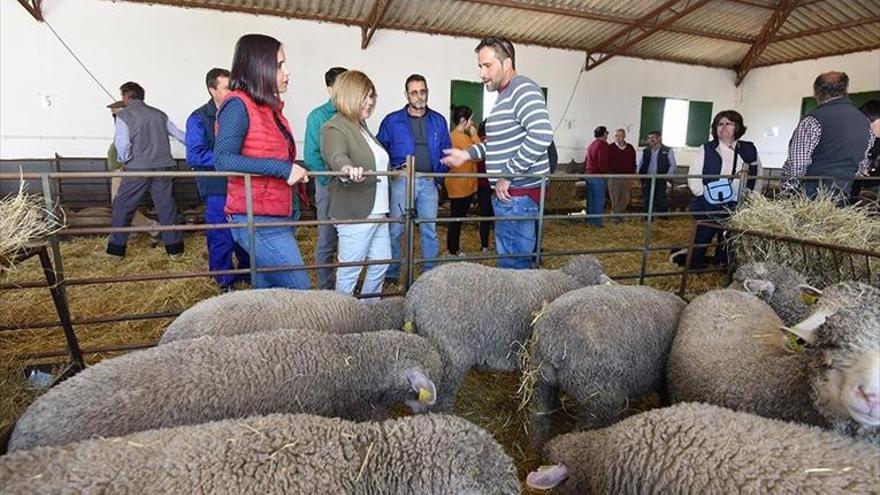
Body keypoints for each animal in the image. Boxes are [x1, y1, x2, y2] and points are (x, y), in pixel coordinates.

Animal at [524, 282, 684, 446]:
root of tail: (554, 341)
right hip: (599, 398)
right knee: (583, 432)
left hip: (540, 380)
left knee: (539, 419)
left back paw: (537, 448)